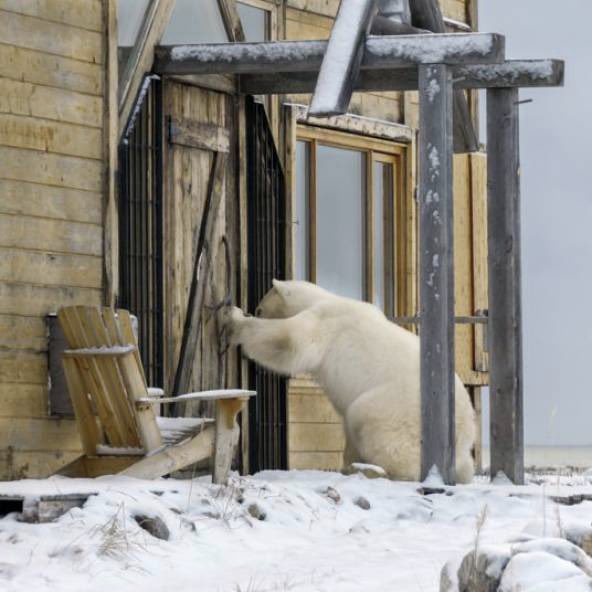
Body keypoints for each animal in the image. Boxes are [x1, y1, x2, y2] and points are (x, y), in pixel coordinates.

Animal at [222, 280, 476, 484]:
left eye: (259, 308)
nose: (253, 310)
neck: (325, 299)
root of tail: (464, 431)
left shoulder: (326, 323)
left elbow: (290, 340)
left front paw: (234, 320)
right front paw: (348, 464)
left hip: (396, 408)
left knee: (366, 419)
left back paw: (382, 471)